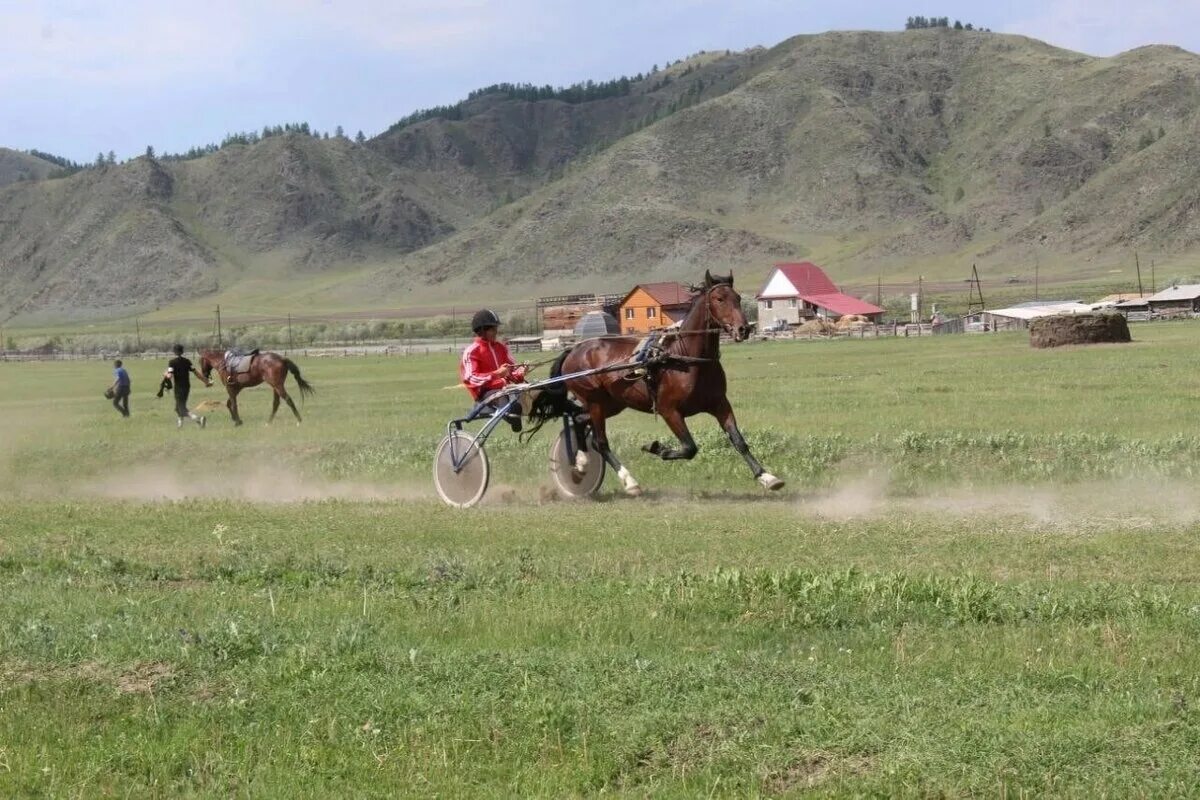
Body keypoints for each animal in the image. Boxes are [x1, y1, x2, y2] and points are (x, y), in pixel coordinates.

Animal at [532, 272, 777, 496]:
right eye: (719, 299)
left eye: (737, 297)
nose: (744, 329)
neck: (686, 358)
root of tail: (574, 350)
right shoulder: (669, 410)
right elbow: (689, 448)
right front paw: (657, 448)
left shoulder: (719, 404)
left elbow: (738, 440)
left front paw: (767, 477)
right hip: (595, 401)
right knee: (600, 442)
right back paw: (629, 481)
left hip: (612, 403)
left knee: (580, 420)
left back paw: (580, 464)